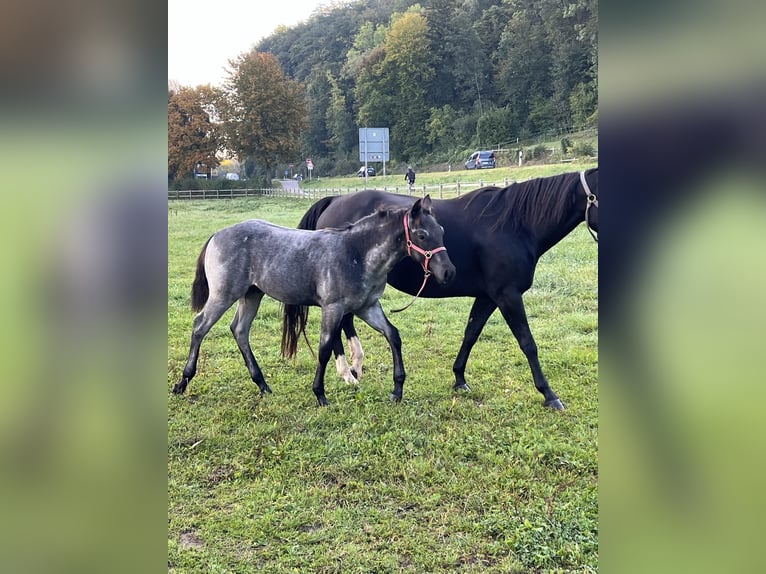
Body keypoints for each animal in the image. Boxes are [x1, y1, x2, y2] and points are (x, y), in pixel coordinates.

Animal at [298, 169, 600, 412]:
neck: (516, 225)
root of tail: (333, 201)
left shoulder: (488, 297)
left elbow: (471, 334)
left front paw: (459, 378)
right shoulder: (508, 296)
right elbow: (528, 343)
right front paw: (549, 394)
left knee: (345, 322)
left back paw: (353, 367)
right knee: (339, 324)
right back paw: (347, 372)